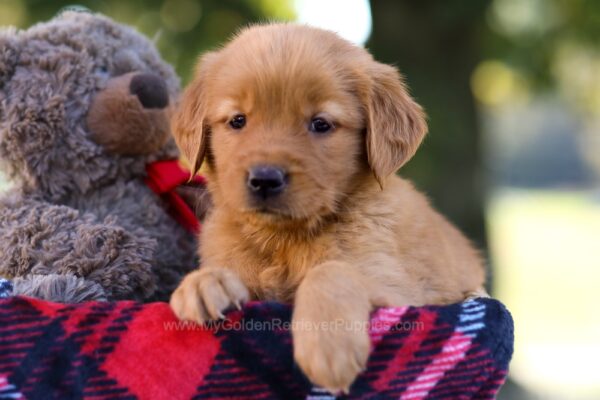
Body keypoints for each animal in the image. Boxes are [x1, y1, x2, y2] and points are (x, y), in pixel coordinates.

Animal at [170, 23, 488, 392]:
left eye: (321, 124)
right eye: (237, 120)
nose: (264, 179)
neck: (284, 241)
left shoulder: (403, 290)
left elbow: (331, 270)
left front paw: (328, 343)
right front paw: (204, 282)